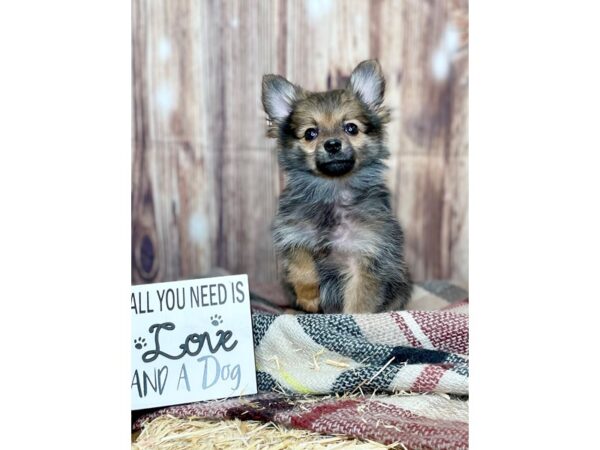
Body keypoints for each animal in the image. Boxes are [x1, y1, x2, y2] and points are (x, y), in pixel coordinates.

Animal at [260, 59, 410, 312]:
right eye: (310, 133)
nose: (332, 145)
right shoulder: (293, 233)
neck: (333, 190)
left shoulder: (365, 257)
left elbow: (359, 303)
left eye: (351, 128)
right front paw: (309, 297)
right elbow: (301, 262)